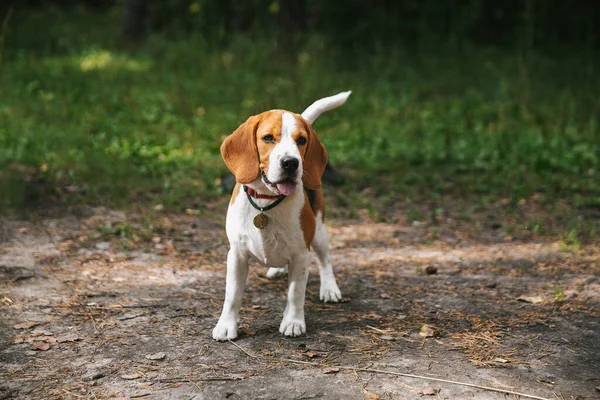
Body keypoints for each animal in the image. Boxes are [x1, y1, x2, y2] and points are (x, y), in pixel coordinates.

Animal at [212, 91, 350, 340]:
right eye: (268, 138)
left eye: (301, 140)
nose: (291, 163)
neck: (265, 203)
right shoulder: (236, 254)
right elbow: (232, 295)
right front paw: (226, 325)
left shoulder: (301, 255)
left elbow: (295, 292)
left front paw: (293, 322)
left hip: (319, 231)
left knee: (325, 260)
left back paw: (329, 288)